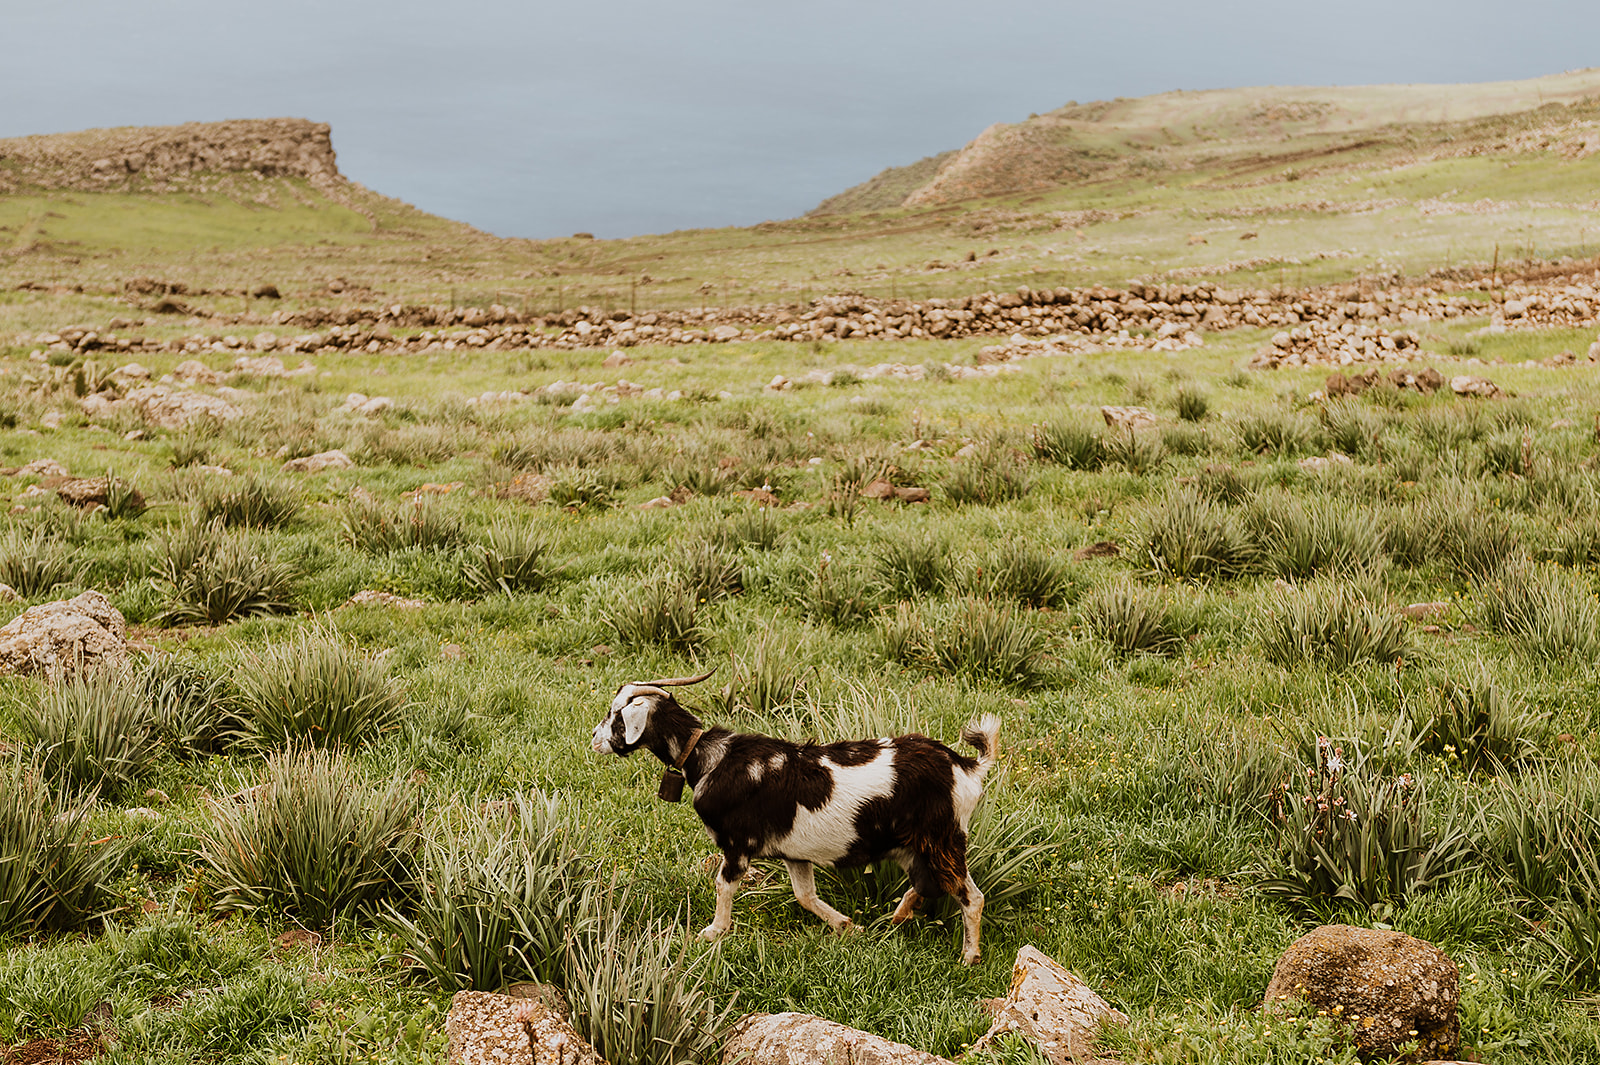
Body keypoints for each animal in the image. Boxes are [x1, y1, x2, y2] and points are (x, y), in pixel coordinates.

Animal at [590, 669, 1000, 965]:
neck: (709, 759)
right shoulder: (795, 853)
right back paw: (895, 919)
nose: (593, 738)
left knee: (970, 896)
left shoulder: (736, 845)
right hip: (911, 845)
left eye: (616, 716)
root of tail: (967, 766)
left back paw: (969, 957)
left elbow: (724, 886)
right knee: (927, 883)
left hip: (943, 838)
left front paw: (713, 932)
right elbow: (805, 896)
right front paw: (848, 926)